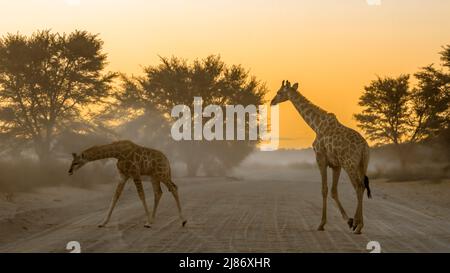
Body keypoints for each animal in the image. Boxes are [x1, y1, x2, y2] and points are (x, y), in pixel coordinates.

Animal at [270, 79, 372, 233]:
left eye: (279, 92)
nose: (272, 101)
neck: (315, 125)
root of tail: (364, 147)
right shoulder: (336, 165)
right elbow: (333, 191)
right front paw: (348, 220)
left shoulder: (321, 158)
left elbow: (324, 190)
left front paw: (322, 224)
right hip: (362, 165)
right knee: (362, 186)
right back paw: (358, 224)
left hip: (350, 164)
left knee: (358, 187)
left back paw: (358, 225)